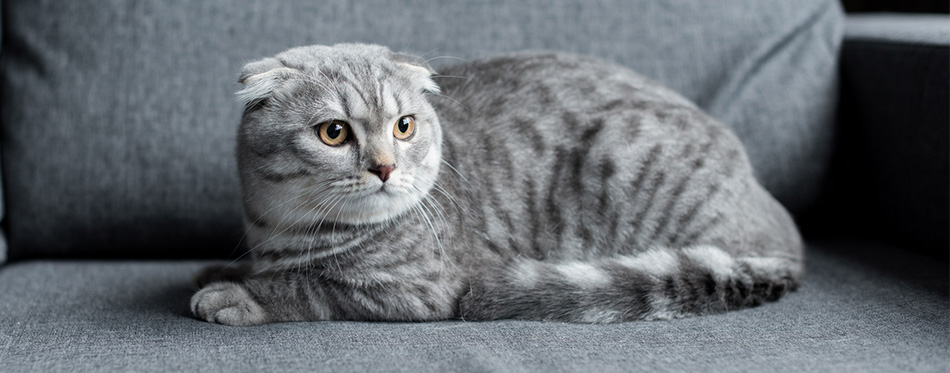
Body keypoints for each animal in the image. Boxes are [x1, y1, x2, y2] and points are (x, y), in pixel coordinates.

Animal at [192, 42, 804, 322]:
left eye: (404, 126)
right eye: (334, 132)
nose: (385, 166)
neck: (286, 231)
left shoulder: (418, 287)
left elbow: (311, 288)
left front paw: (239, 293)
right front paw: (223, 269)